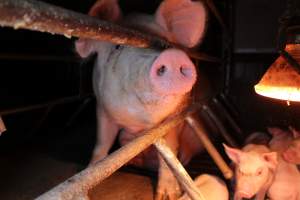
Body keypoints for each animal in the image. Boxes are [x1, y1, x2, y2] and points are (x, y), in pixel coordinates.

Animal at [75, 0, 206, 199]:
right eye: (117, 46)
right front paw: (91, 178)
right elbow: (102, 144)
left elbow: (169, 154)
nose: (173, 57)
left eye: (165, 44)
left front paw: (167, 195)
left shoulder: (173, 122)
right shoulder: (102, 108)